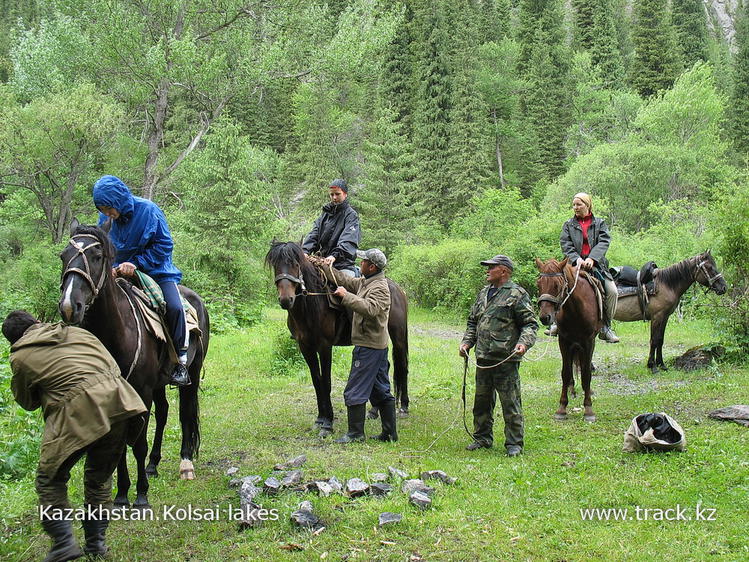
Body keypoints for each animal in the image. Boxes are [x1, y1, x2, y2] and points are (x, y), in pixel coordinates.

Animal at [57, 217, 210, 506]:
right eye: (64, 256)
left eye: (97, 256)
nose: (70, 306)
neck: (117, 333)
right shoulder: (118, 395)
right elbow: (118, 445)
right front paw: (121, 494)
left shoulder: (142, 391)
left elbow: (137, 443)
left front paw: (140, 495)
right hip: (159, 382)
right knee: (163, 413)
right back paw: (153, 464)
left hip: (191, 374)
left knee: (185, 413)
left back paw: (185, 463)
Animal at [266, 238, 410, 436]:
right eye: (276, 265)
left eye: (296, 264)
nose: (286, 300)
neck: (311, 304)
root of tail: (398, 289)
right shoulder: (306, 347)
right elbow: (316, 381)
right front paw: (320, 418)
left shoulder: (325, 346)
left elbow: (326, 381)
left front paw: (328, 423)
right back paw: (374, 411)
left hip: (398, 337)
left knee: (402, 366)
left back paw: (404, 407)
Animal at [536, 258, 600, 420]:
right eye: (538, 284)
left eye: (557, 285)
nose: (545, 317)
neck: (575, 310)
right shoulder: (564, 341)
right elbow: (565, 373)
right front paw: (562, 408)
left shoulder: (588, 342)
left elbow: (586, 373)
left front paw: (588, 409)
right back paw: (572, 389)